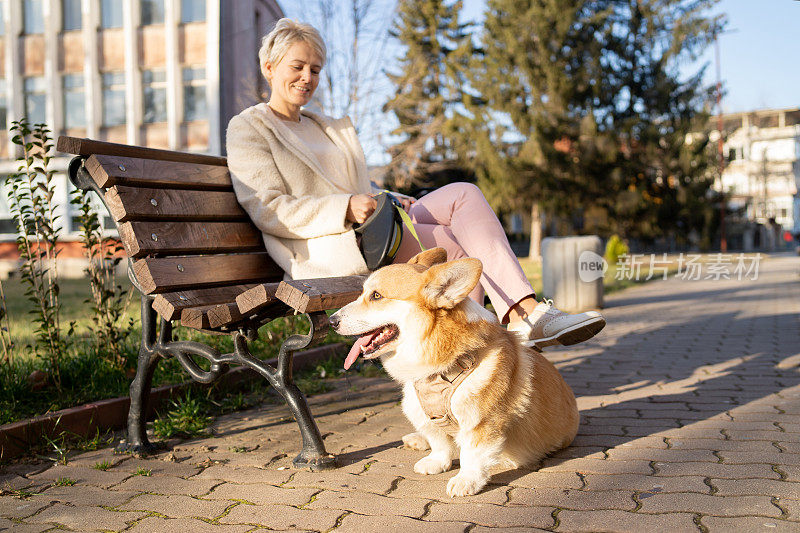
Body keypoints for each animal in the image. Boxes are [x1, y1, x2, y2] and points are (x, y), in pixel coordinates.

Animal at [328, 247, 580, 496]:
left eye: (376, 296)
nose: (331, 321)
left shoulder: (481, 422)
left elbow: (472, 453)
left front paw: (466, 480)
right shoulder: (426, 415)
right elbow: (439, 441)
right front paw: (436, 461)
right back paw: (417, 440)